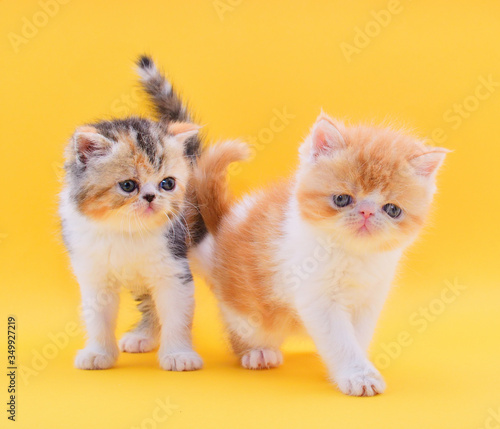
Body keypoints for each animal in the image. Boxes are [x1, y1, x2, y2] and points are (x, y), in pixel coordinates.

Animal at [60, 56, 205, 372]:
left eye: (167, 183)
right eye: (128, 185)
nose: (151, 197)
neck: (125, 231)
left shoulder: (173, 264)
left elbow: (176, 313)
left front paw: (178, 354)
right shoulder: (93, 272)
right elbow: (97, 317)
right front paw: (98, 352)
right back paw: (143, 335)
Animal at [192, 113, 450, 394]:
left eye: (392, 209)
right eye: (342, 199)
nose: (367, 212)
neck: (352, 255)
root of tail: (222, 230)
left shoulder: (370, 298)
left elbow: (356, 336)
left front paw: (356, 364)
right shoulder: (317, 296)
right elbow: (340, 339)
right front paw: (358, 375)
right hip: (247, 310)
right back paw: (257, 352)